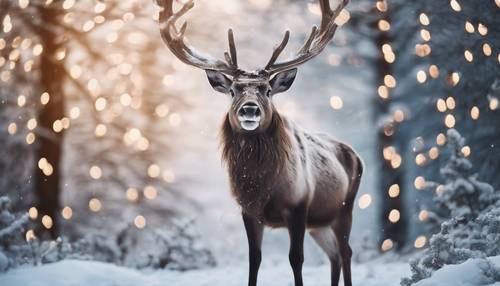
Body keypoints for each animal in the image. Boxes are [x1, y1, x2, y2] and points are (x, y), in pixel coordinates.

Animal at [154, 0, 362, 286]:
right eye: (233, 91)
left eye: (268, 90)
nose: (249, 109)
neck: (261, 185)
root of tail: (355, 155)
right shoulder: (249, 210)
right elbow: (254, 259)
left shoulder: (299, 204)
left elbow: (296, 258)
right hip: (320, 222)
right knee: (333, 255)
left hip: (344, 208)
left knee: (346, 251)